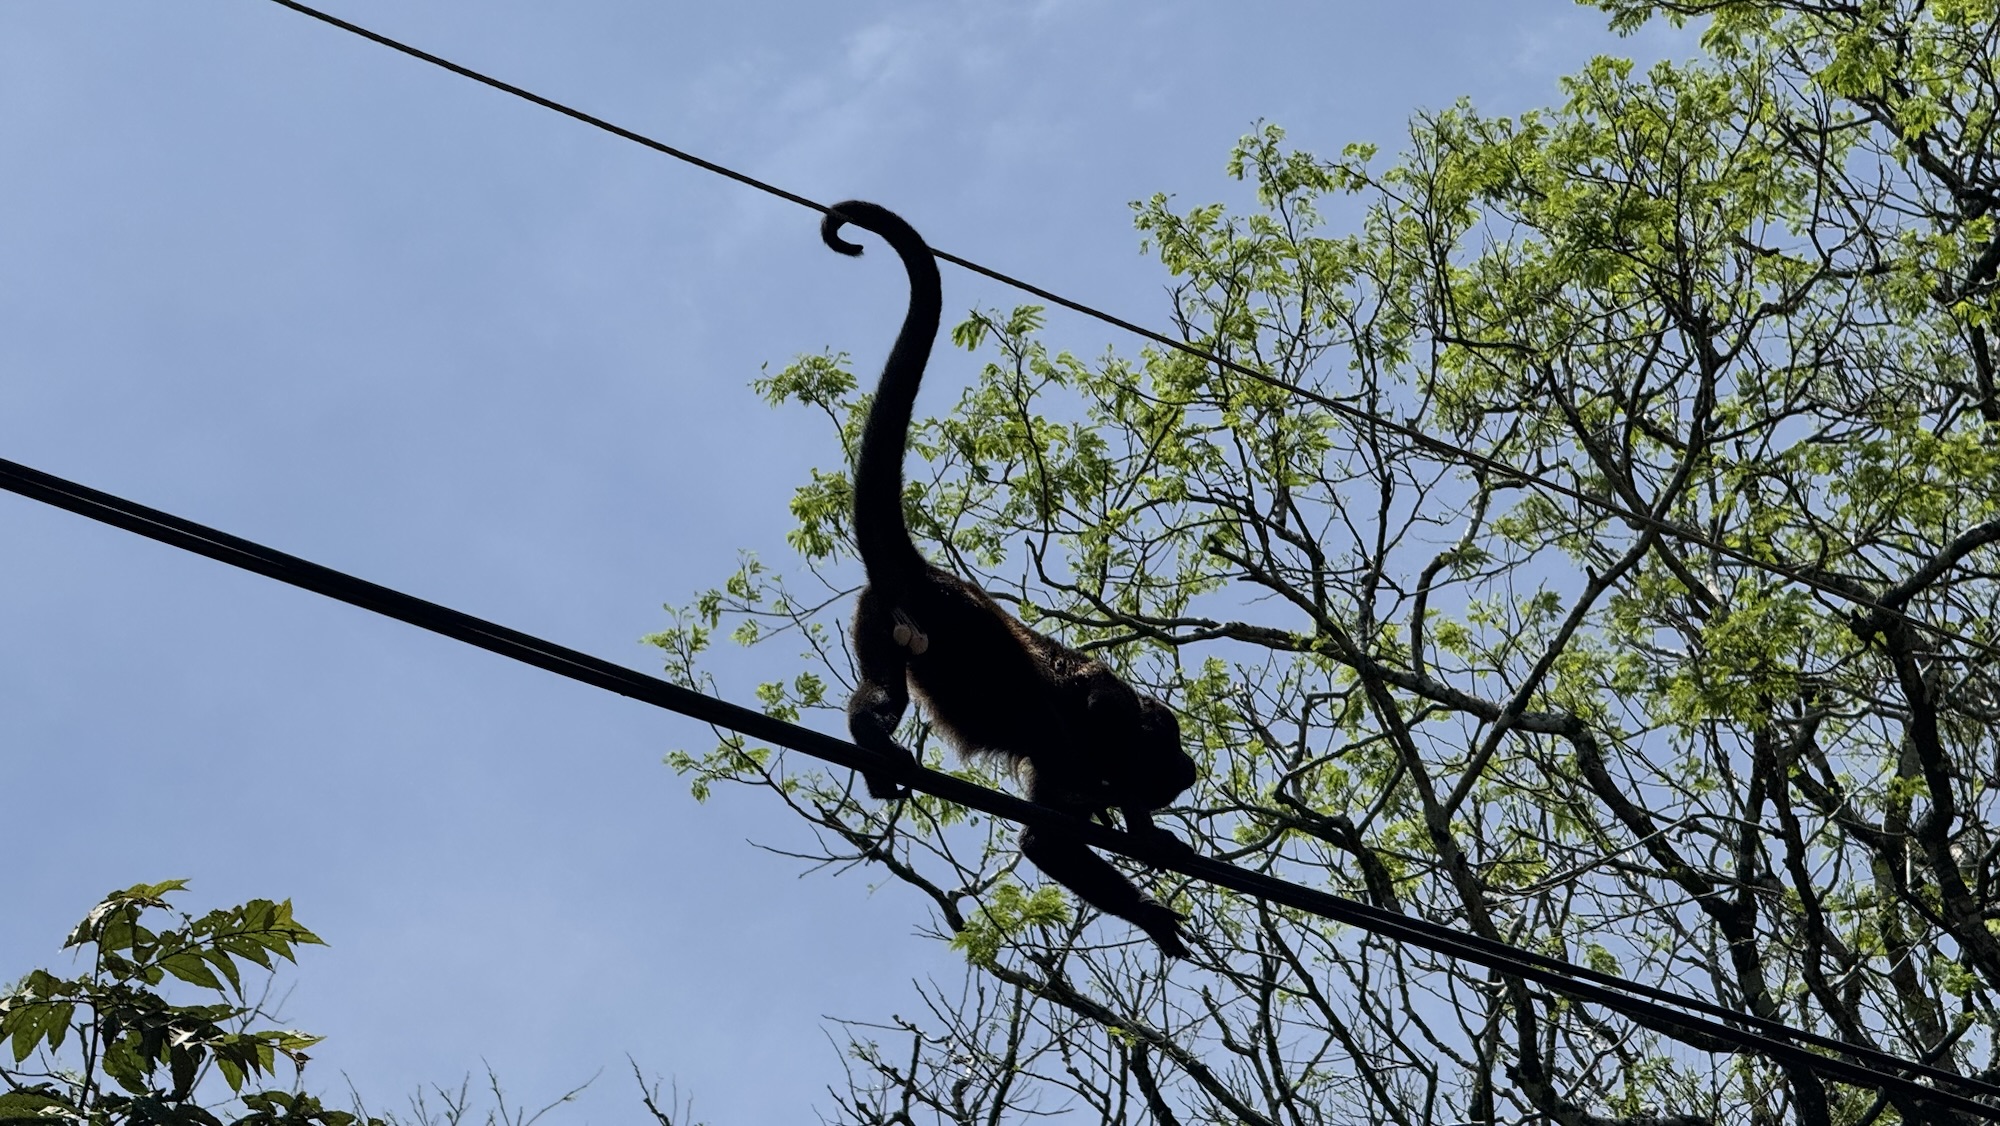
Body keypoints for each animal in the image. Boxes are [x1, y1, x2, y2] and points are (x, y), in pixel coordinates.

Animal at [822, 200, 1198, 958]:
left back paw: (872, 748)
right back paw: (878, 745)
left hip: (878, 618)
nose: (1180, 777)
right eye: (1167, 765)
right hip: (956, 633)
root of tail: (928, 574)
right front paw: (1151, 911)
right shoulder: (1090, 736)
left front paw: (1152, 836)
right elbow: (1044, 839)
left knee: (884, 689)